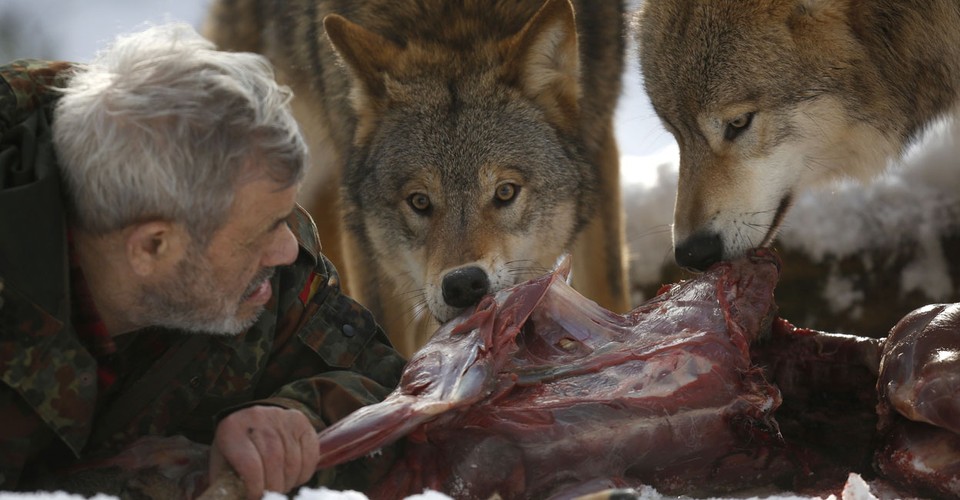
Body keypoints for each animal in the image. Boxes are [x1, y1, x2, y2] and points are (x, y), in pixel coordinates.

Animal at [204, 0, 632, 356]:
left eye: (505, 192)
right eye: (419, 201)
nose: (464, 285)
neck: (457, 22)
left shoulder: (599, 142)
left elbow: (608, 288)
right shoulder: (366, 240)